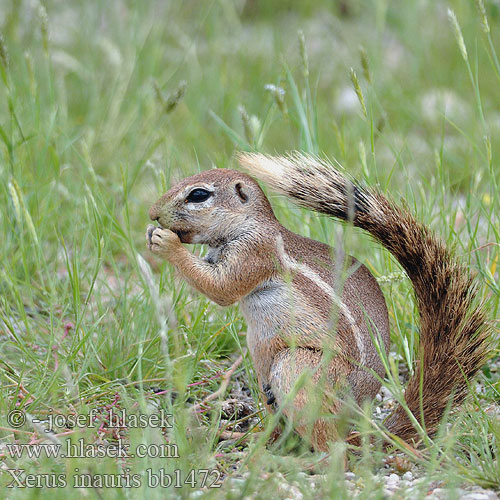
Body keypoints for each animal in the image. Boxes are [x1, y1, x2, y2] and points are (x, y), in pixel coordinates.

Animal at [146, 151, 490, 450]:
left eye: (198, 195)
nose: (152, 214)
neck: (246, 226)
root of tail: (357, 425)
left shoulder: (254, 254)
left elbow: (221, 288)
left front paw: (165, 242)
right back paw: (248, 440)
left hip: (302, 369)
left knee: (331, 444)